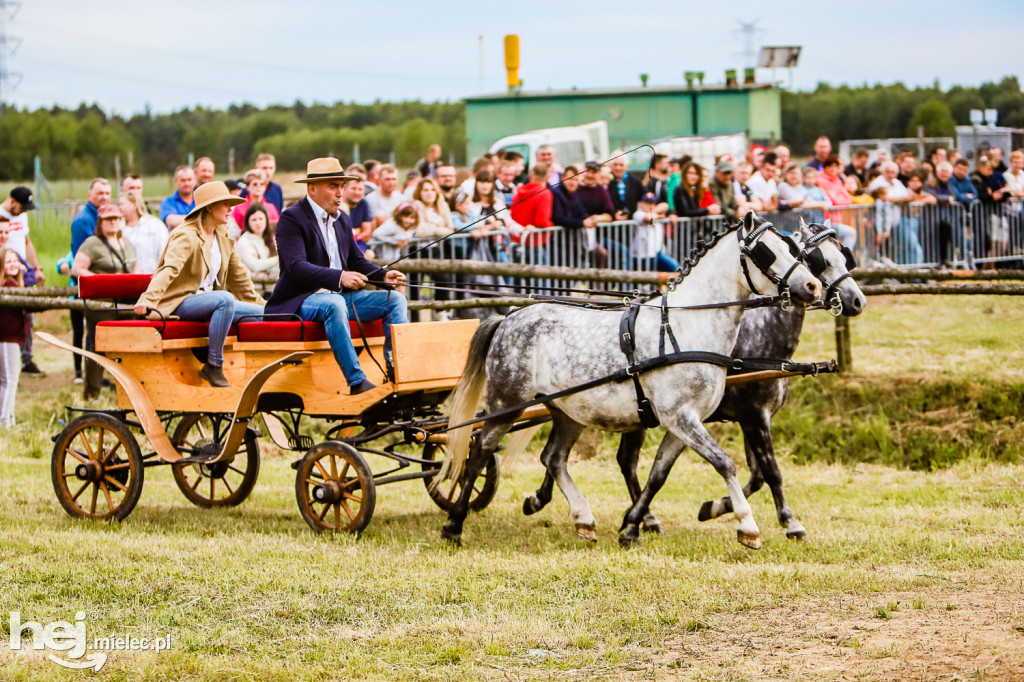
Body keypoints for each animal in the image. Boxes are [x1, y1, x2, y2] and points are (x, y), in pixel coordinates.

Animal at [440, 212, 823, 548]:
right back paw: (454, 523)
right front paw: (748, 526)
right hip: (507, 403)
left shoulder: (682, 424)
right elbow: (725, 463)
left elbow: (658, 474)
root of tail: (507, 318)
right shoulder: (682, 417)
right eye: (766, 251)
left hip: (567, 412)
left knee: (553, 458)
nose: (813, 285)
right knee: (480, 451)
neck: (685, 329)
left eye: (794, 248)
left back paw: (583, 518)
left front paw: (632, 527)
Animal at [524, 220, 868, 540]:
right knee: (619, 460)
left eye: (843, 256)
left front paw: (714, 507)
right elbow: (770, 471)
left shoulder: (750, 417)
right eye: (817, 259)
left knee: (593, 457)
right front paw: (788, 522)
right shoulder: (754, 415)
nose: (857, 300)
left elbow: (756, 473)